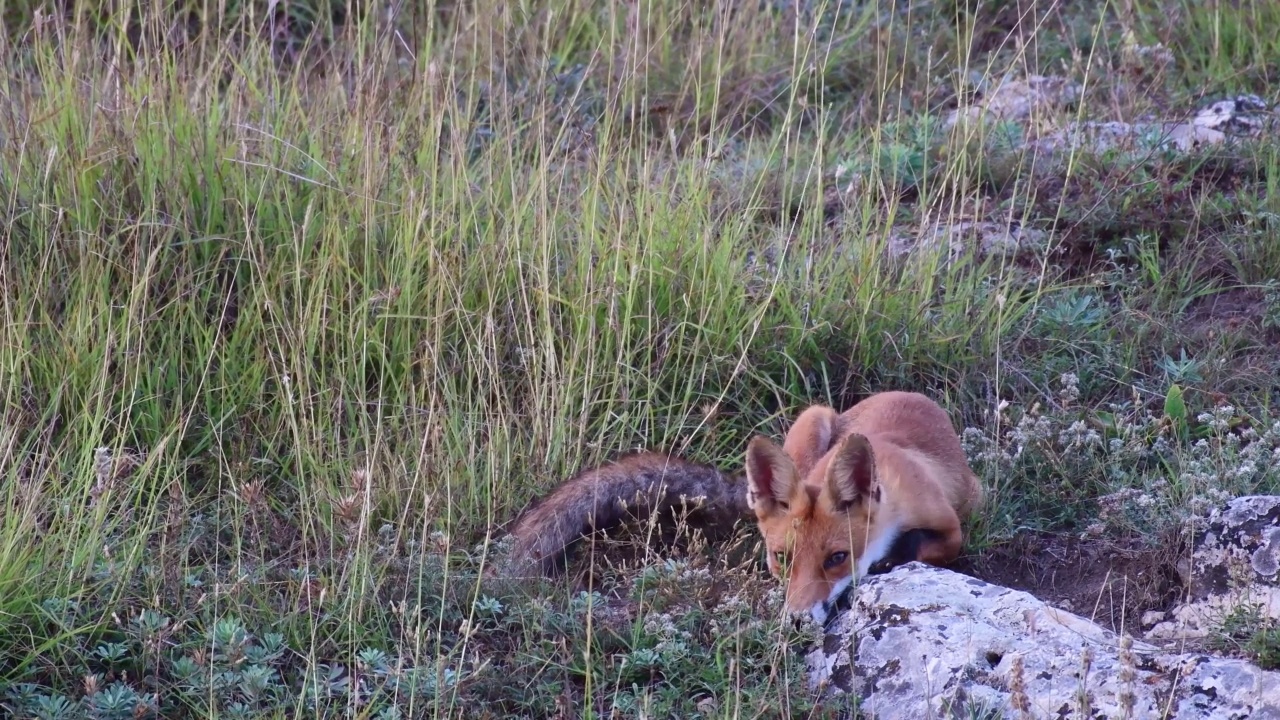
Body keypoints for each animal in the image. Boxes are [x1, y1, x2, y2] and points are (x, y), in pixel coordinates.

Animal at [499, 389, 977, 620]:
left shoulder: (950, 523)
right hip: (812, 422)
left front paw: (889, 561)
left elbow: (927, 546)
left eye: (837, 558)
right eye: (782, 559)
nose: (798, 620)